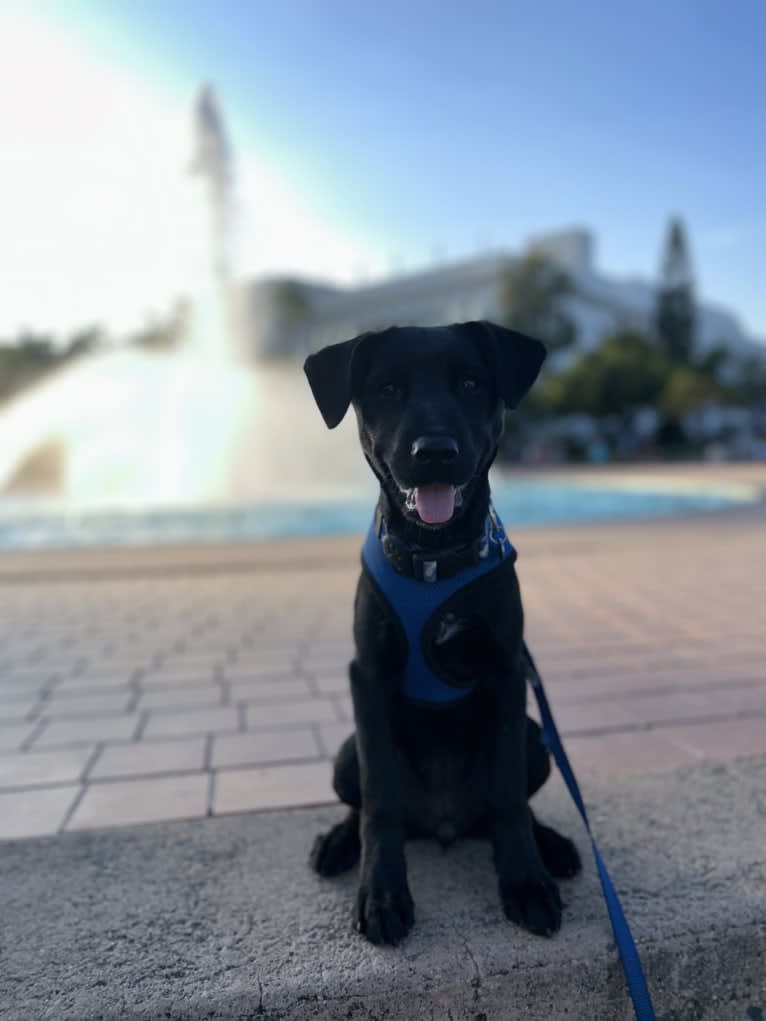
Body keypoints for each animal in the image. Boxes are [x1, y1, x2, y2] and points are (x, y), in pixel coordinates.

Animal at [302, 322, 580, 943]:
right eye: (387, 388)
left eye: (472, 383)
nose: (434, 453)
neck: (433, 558)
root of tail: (443, 823)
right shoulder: (368, 674)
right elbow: (379, 801)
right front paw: (382, 895)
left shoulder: (507, 671)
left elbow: (508, 797)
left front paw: (526, 883)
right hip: (346, 753)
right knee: (365, 803)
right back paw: (337, 844)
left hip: (536, 740)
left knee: (507, 806)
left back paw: (553, 847)